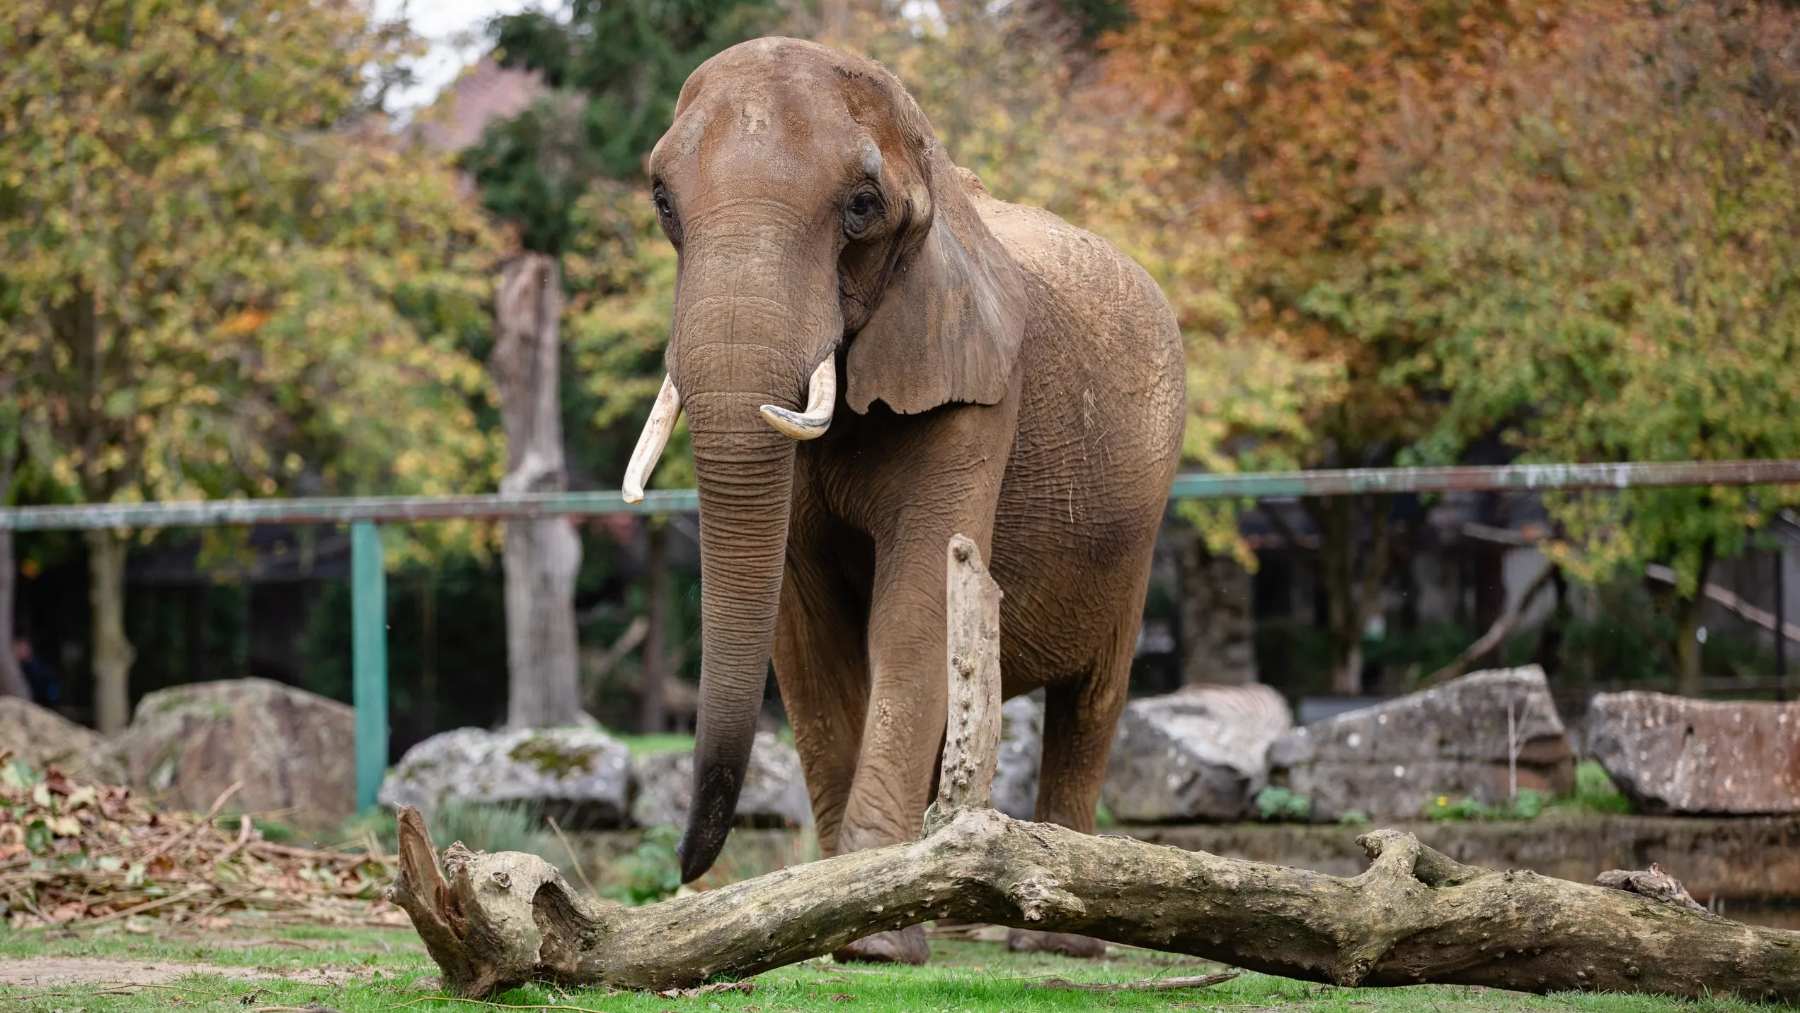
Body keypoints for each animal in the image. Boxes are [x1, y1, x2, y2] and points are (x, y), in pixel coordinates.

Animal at [621, 37, 1185, 963]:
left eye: (861, 206)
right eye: (663, 201)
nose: (682, 867)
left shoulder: (981, 384)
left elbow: (916, 604)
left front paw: (874, 941)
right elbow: (806, 634)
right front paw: (832, 914)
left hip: (1138, 524)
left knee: (1092, 698)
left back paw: (1052, 940)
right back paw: (958, 906)